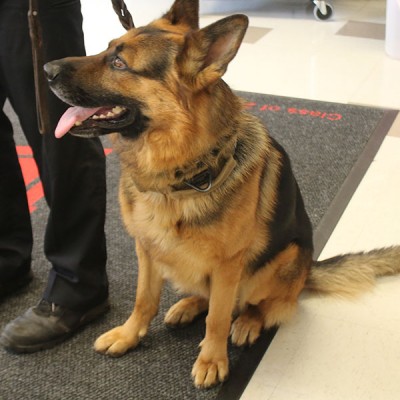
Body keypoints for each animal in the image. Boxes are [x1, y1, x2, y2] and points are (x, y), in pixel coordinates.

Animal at [45, 0, 400, 388]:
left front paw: (213, 360)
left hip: (283, 259)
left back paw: (247, 322)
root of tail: (308, 271)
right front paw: (129, 334)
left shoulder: (228, 265)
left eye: (119, 64)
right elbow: (144, 299)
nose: (46, 69)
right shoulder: (147, 249)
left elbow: (217, 318)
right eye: (106, 49)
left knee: (261, 306)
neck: (177, 177)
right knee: (210, 295)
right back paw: (188, 305)